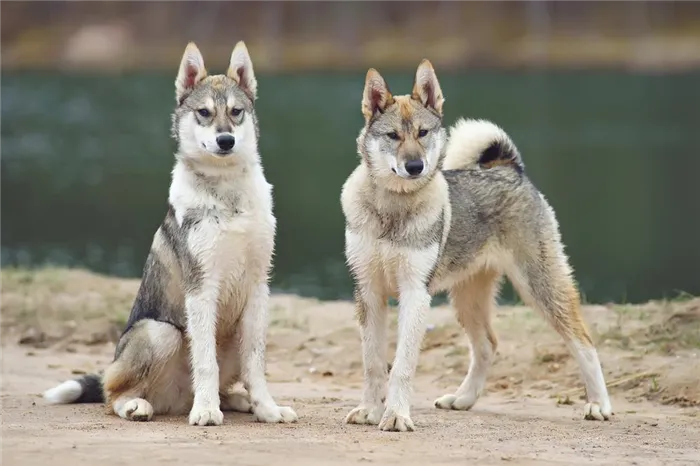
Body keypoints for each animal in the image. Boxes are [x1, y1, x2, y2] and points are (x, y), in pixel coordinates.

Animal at [43, 41, 296, 426]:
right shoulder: (201, 287)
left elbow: (257, 364)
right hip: (161, 333)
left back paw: (237, 402)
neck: (227, 196)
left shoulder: (258, 288)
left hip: (228, 337)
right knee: (112, 395)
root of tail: (174, 401)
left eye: (236, 112)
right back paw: (143, 405)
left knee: (226, 381)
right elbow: (205, 363)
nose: (226, 140)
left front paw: (266, 408)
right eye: (204, 113)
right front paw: (206, 412)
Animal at [340, 60, 612, 432]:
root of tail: (511, 168)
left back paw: (599, 405)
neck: (392, 209)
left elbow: (402, 367)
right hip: (467, 299)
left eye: (423, 133)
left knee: (583, 340)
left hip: (540, 287)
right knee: (487, 346)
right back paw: (463, 399)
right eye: (393, 136)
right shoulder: (368, 292)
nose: (415, 167)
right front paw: (369, 409)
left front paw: (396, 415)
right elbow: (372, 363)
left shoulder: (414, 293)